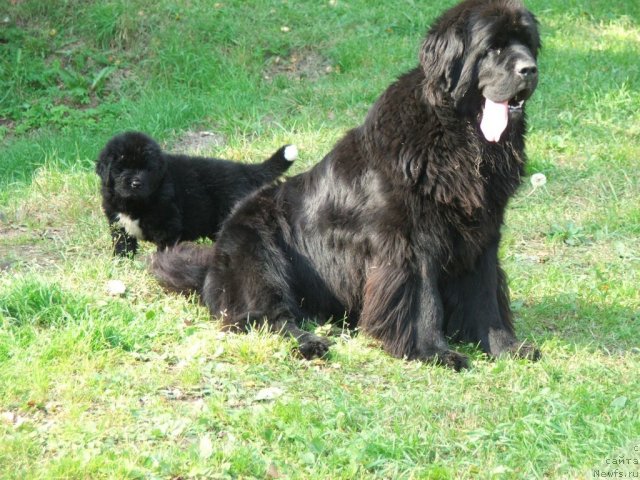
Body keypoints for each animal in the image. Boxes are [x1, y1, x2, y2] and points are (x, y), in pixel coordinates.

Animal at [96, 127, 296, 255]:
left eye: (148, 169)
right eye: (121, 168)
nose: (136, 183)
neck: (134, 203)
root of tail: (243, 169)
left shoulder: (166, 225)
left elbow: (164, 248)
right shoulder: (118, 224)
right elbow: (123, 245)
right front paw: (122, 262)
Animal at [151, 0, 540, 372]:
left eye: (528, 44)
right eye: (493, 48)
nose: (530, 69)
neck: (459, 137)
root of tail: (213, 261)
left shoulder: (481, 236)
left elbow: (486, 298)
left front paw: (507, 348)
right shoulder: (411, 245)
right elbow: (423, 303)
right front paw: (433, 352)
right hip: (258, 251)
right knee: (266, 316)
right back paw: (310, 342)